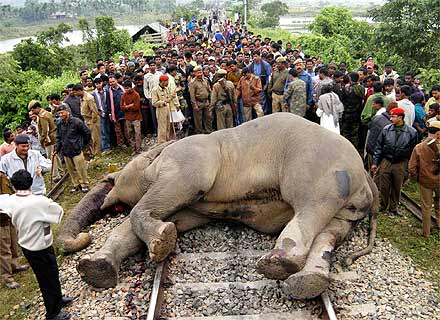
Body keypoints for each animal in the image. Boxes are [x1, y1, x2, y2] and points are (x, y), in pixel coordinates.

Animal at [56, 114, 380, 298]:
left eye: (110, 180)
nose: (84, 236)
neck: (160, 152)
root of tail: (365, 173)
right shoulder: (191, 203)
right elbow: (165, 220)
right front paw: (95, 268)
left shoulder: (188, 161)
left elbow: (150, 206)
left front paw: (161, 244)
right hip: (348, 204)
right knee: (329, 232)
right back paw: (307, 282)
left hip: (321, 171)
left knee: (310, 209)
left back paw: (277, 264)